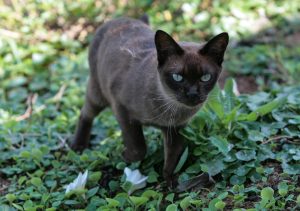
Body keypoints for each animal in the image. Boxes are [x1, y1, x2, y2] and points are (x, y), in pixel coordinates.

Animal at [71, 16, 230, 185]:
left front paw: (170, 181)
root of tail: (119, 18)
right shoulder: (123, 111)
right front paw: (123, 157)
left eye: (205, 78)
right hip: (98, 95)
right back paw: (78, 146)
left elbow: (173, 156)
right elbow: (139, 148)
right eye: (178, 77)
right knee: (84, 114)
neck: (170, 107)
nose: (192, 94)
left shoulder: (175, 128)